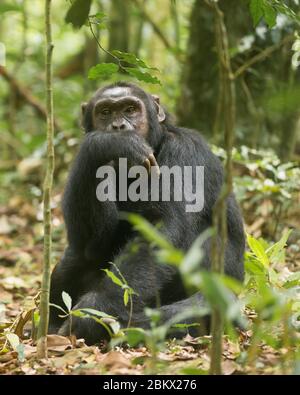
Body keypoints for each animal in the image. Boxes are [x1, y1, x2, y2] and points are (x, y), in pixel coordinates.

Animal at [49, 82, 245, 344]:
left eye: (130, 109)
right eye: (105, 112)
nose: (118, 126)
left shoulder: (185, 152)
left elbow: (158, 226)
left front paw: (94, 312)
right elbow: (93, 244)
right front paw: (108, 142)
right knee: (75, 258)